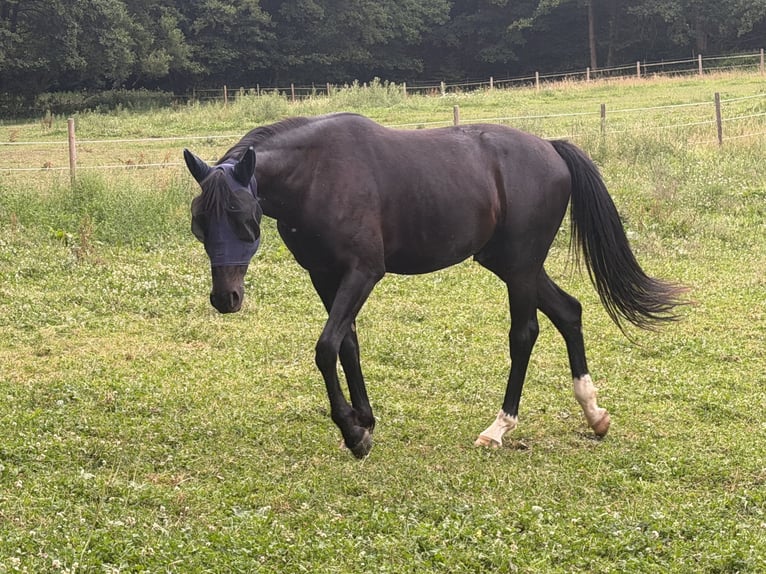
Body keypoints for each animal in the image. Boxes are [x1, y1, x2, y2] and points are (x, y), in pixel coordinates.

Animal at [183, 112, 686, 458]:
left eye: (244, 219)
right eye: (199, 224)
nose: (225, 298)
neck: (319, 175)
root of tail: (549, 147)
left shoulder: (362, 272)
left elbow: (326, 348)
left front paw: (352, 433)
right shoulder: (325, 277)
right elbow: (347, 345)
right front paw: (364, 422)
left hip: (521, 268)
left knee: (525, 334)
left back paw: (499, 428)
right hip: (511, 264)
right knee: (569, 311)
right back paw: (593, 413)